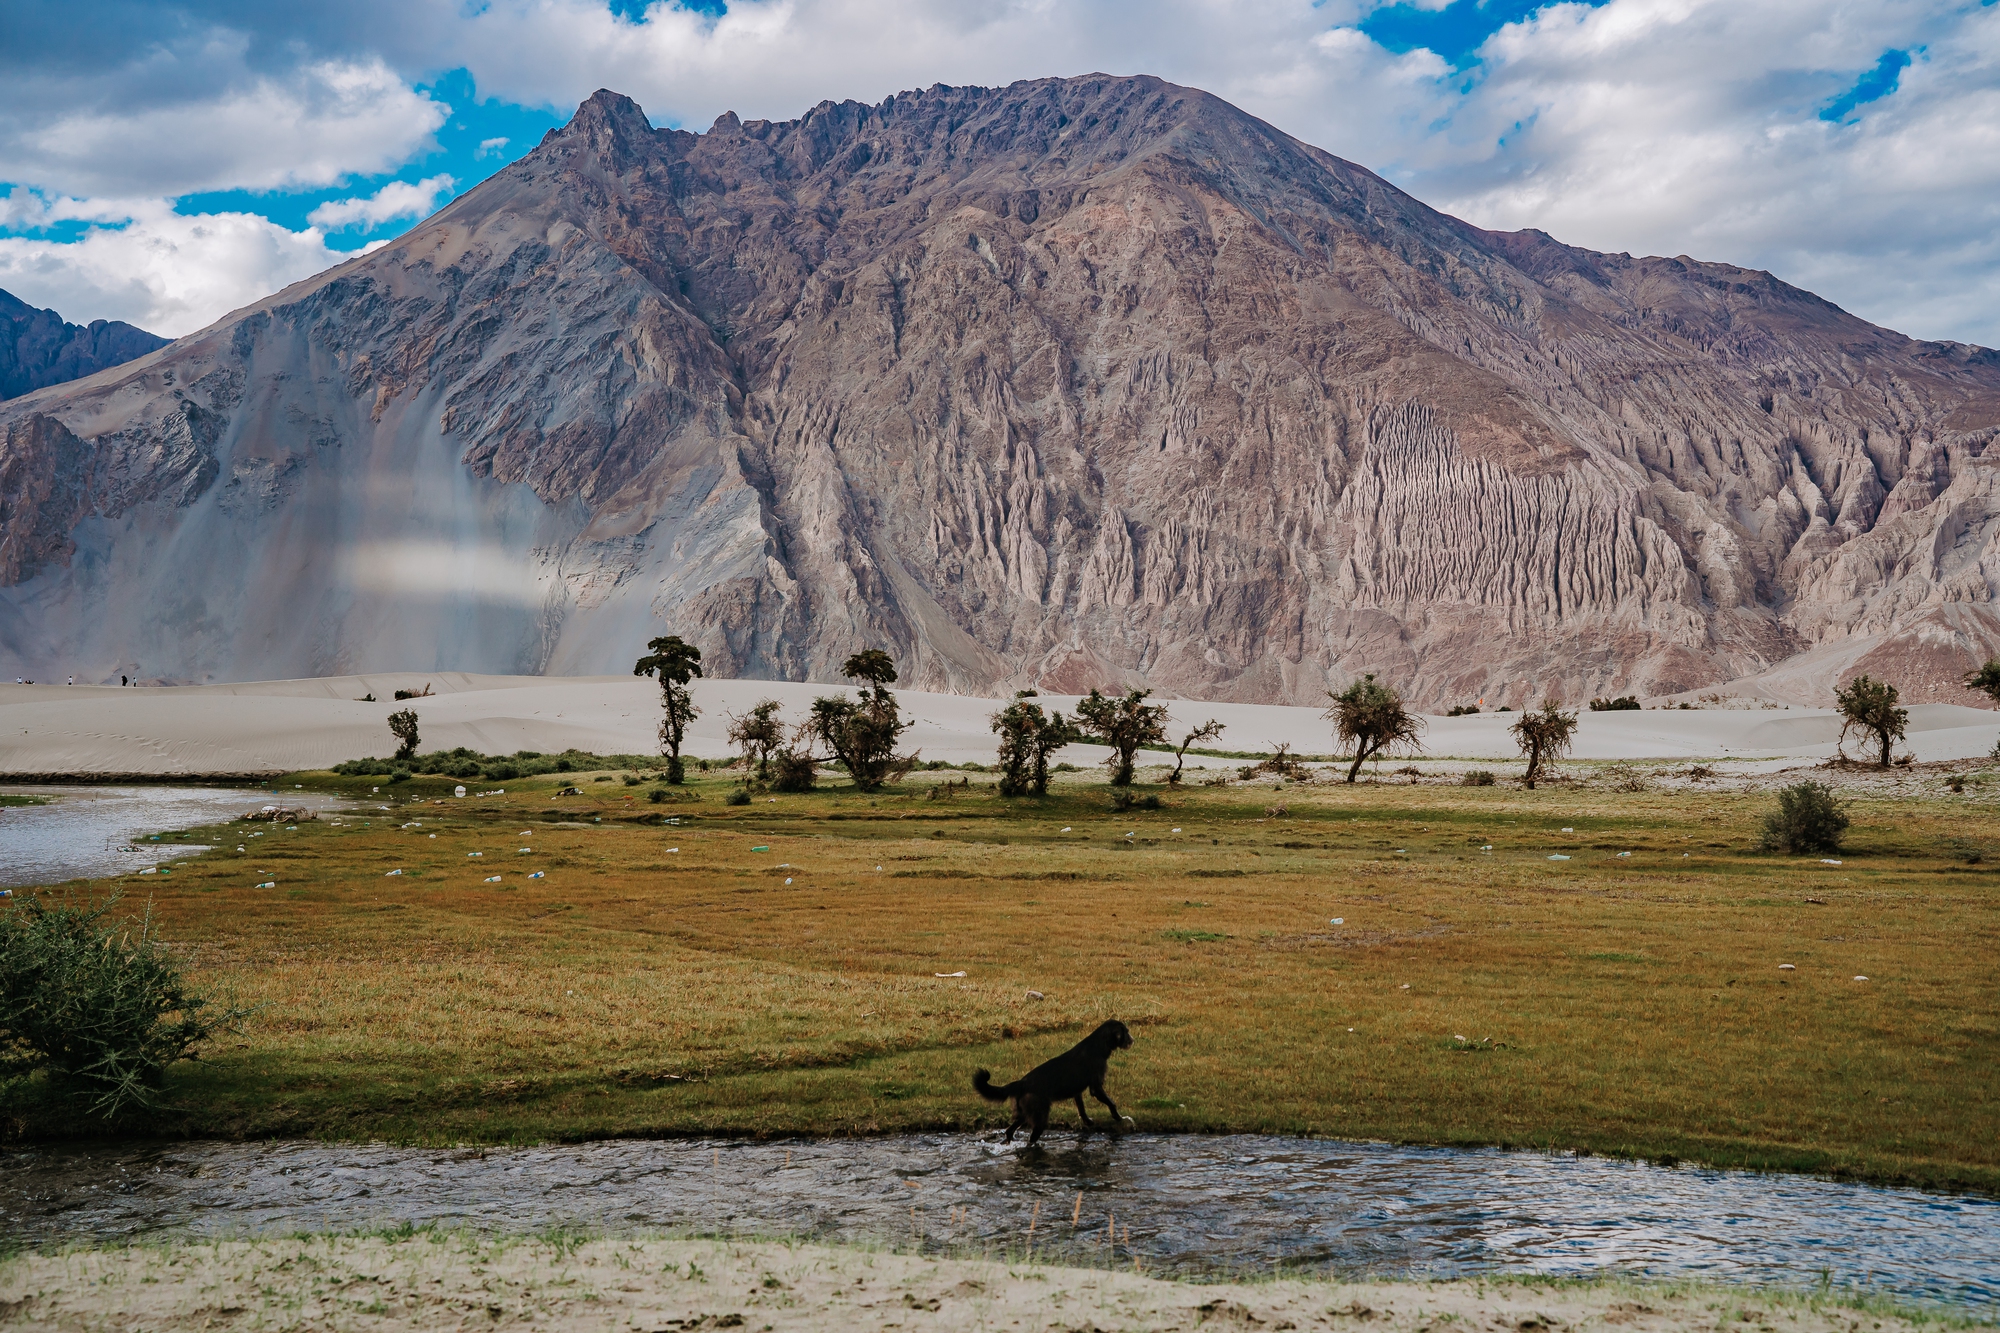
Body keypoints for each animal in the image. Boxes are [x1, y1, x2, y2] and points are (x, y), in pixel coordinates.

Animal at [972, 1016, 1136, 1144]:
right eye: (1126, 1032)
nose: (1133, 1040)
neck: (1098, 1045)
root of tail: (1021, 1083)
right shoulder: (1096, 1086)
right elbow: (1111, 1102)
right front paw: (1118, 1117)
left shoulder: (1077, 1091)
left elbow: (1081, 1107)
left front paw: (1087, 1121)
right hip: (1039, 1116)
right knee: (1031, 1139)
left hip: (1024, 1113)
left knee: (1009, 1131)